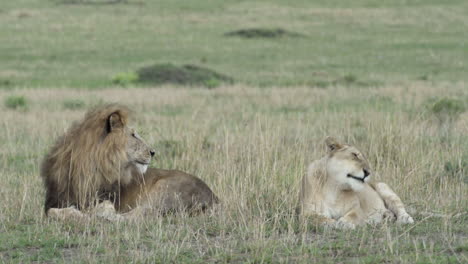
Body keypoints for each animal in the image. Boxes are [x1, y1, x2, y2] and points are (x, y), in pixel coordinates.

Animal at [42, 103, 218, 221]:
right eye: (133, 135)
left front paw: (78, 213)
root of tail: (214, 198)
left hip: (164, 189)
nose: (153, 152)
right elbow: (49, 211)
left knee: (134, 216)